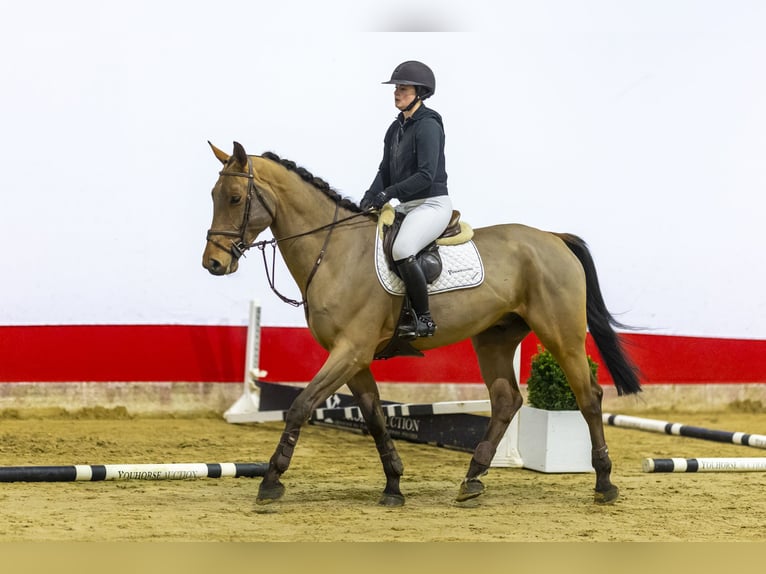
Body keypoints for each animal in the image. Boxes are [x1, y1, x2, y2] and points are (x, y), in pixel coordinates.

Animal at [204, 142, 640, 506]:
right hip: (494, 339)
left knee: (588, 397)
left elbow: (300, 406)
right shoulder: (355, 359)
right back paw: (472, 479)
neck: (334, 252)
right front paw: (394, 485)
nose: (213, 263)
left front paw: (270, 481)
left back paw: (604, 483)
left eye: (235, 198)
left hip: (562, 335)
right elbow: (376, 418)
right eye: (213, 196)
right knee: (506, 401)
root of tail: (553, 237)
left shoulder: (351, 351)